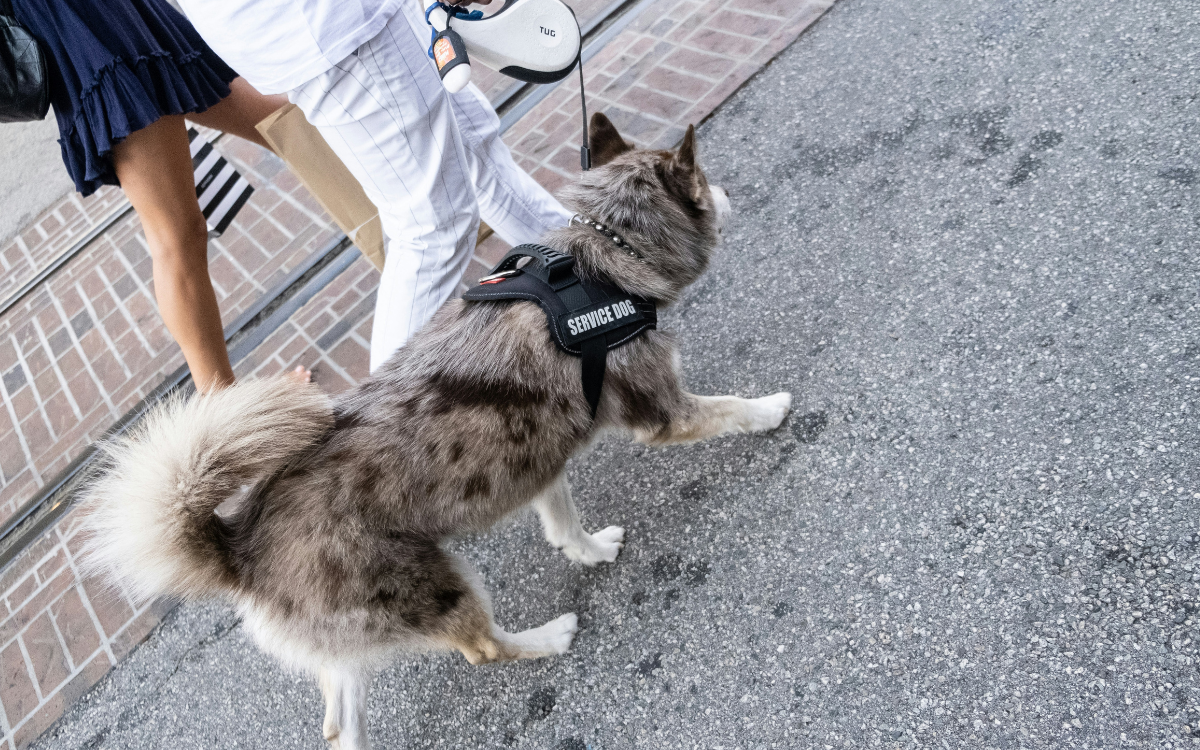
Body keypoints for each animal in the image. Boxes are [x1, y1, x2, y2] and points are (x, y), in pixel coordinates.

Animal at [84, 112, 796, 748]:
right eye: (705, 180)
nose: (727, 195)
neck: (602, 258)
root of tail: (240, 546)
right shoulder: (664, 413)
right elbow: (731, 409)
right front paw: (772, 409)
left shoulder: (536, 455)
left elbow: (562, 520)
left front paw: (588, 550)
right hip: (437, 587)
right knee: (482, 649)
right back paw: (545, 638)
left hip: (354, 642)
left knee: (339, 726)